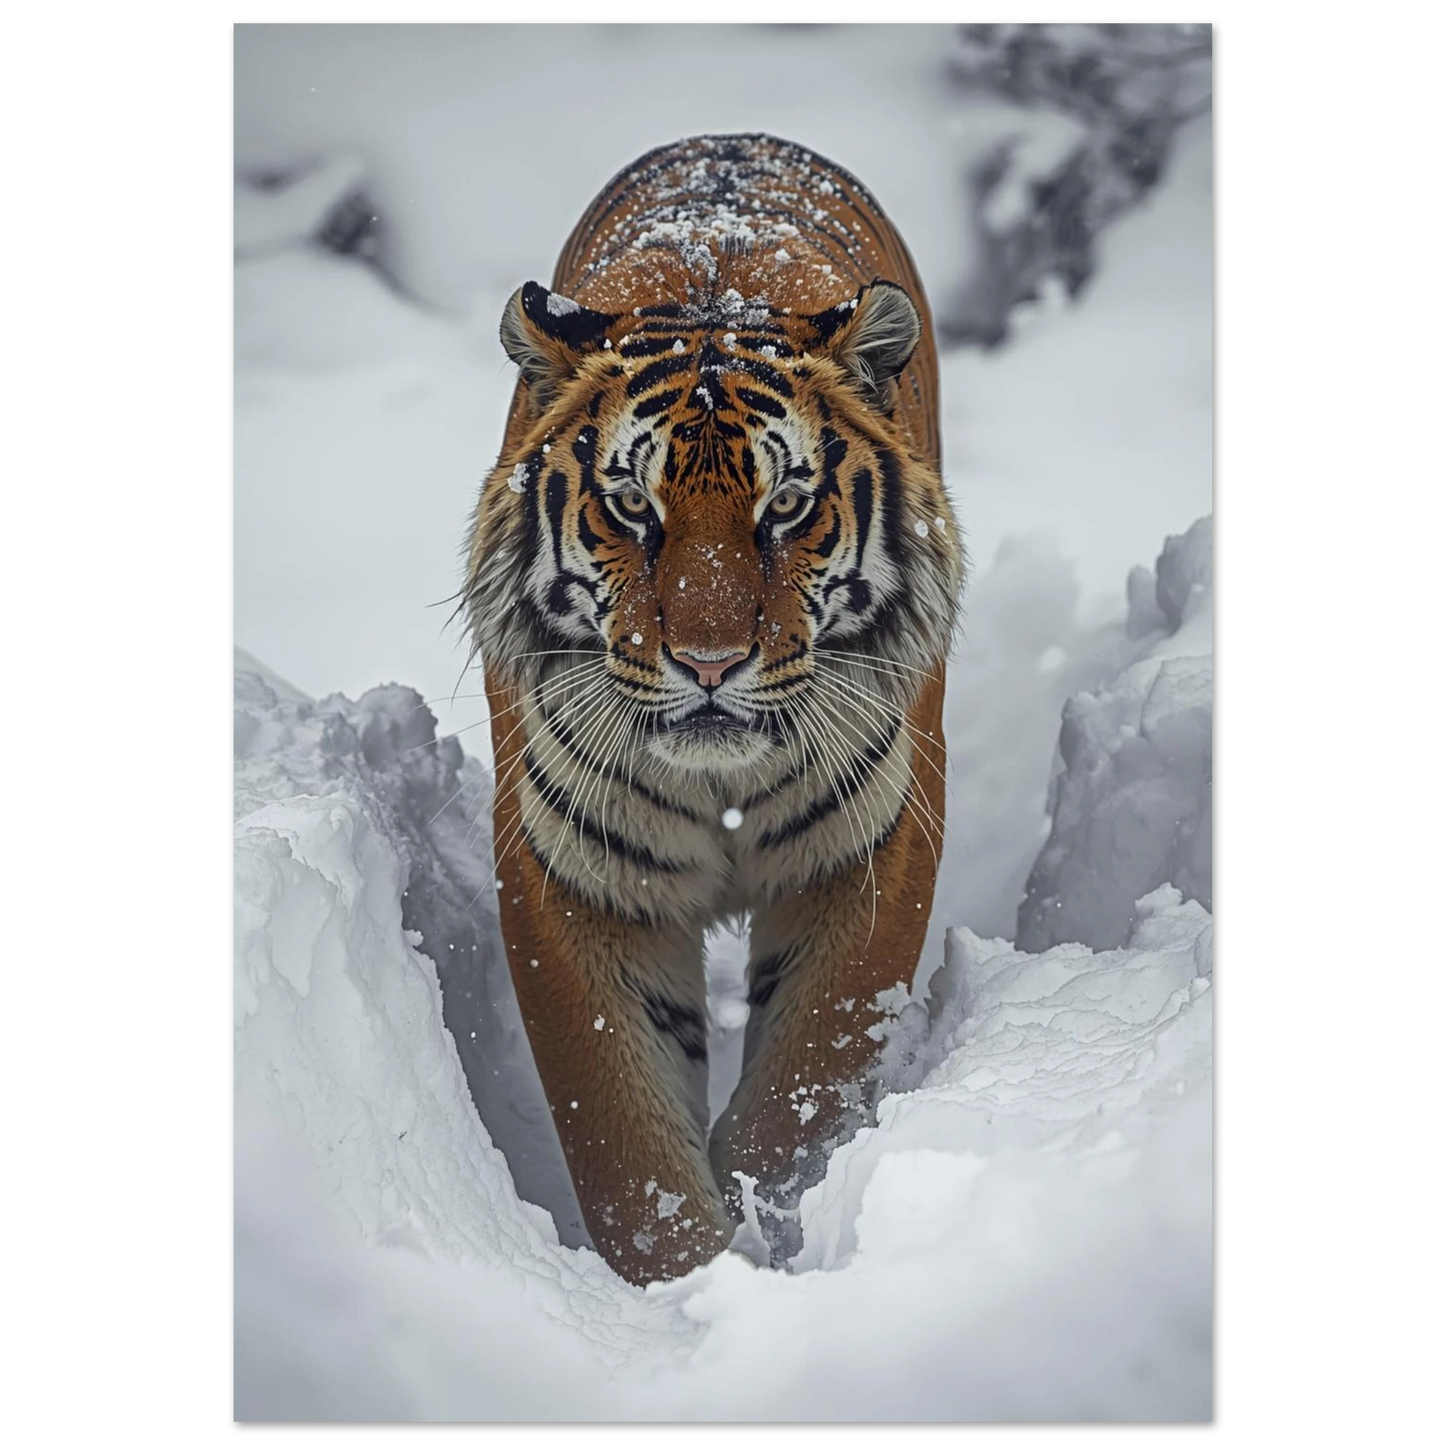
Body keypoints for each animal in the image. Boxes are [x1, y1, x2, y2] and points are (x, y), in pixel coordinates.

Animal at [461, 133, 963, 1285]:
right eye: (630, 506)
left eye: (785, 505)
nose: (706, 661)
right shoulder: (570, 872)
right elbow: (621, 1135)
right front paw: (687, 1280)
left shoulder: (871, 845)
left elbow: (804, 1078)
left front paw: (761, 1216)